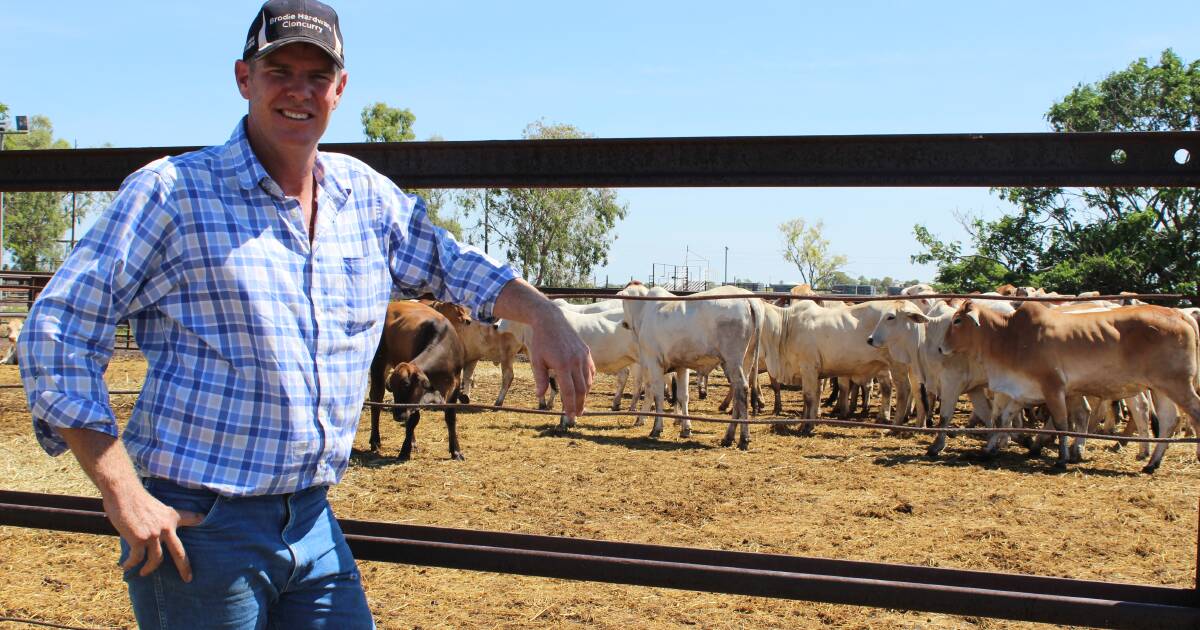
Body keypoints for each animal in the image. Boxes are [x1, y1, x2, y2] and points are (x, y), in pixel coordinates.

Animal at [369, 300, 468, 460]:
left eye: (406, 384)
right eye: (393, 389)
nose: (398, 416)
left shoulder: (455, 385)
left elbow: (450, 418)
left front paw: (456, 451)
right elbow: (413, 420)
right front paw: (404, 451)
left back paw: (413, 443)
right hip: (379, 363)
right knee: (376, 400)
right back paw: (375, 441)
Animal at [936, 301, 1200, 470]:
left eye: (957, 320)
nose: (939, 348)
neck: (1008, 337)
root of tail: (1179, 314)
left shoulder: (1053, 388)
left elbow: (1062, 423)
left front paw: (1062, 459)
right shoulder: (1021, 391)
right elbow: (1002, 420)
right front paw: (989, 450)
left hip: (1177, 384)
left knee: (1192, 413)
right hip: (1160, 388)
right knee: (1169, 420)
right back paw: (1152, 463)